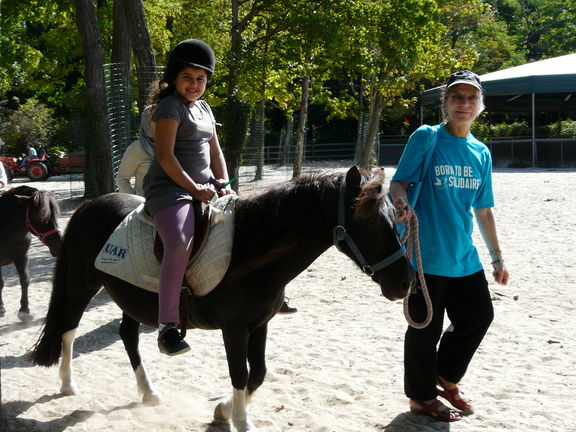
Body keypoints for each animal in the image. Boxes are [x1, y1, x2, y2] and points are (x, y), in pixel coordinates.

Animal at [0, 186, 62, 320]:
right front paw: (1, 308)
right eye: (40, 217)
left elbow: (25, 280)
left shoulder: (22, 257)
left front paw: (24, 310)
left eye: (55, 214)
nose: (59, 244)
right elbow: (0, 283)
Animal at [28, 166, 414, 432]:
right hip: (81, 284)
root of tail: (91, 205)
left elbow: (258, 373)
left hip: (133, 297)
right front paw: (241, 421)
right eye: (369, 222)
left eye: (395, 218)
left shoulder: (259, 325)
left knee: (127, 336)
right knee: (68, 329)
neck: (250, 248)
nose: (406, 282)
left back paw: (148, 393)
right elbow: (240, 373)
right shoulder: (234, 328)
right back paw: (67, 384)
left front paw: (223, 411)